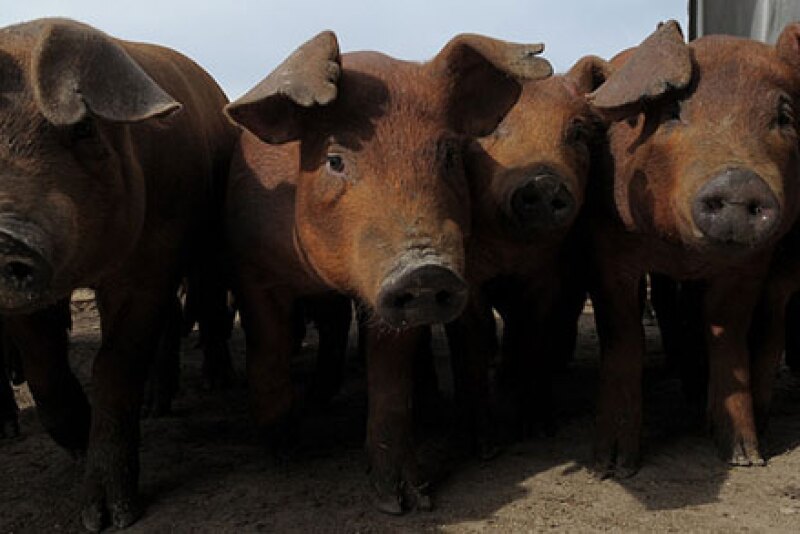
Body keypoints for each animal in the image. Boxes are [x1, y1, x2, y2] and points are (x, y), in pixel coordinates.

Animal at [0, 18, 236, 530]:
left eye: (84, 128)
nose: (5, 236)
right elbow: (44, 367)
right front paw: (76, 442)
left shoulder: (151, 259)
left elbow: (115, 364)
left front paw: (109, 518)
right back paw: (156, 406)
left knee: (209, 307)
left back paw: (212, 385)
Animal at [223, 30, 551, 513]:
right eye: (335, 160)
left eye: (448, 153)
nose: (425, 271)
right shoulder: (251, 267)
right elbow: (268, 350)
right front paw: (284, 451)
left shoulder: (393, 301)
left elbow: (392, 383)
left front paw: (404, 502)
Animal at [445, 58, 607, 454]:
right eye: (489, 127)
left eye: (577, 132)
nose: (544, 182)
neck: (509, 251)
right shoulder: (469, 277)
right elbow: (472, 342)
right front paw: (483, 446)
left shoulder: (548, 274)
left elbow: (536, 333)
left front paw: (538, 429)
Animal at [584, 20, 800, 478]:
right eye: (672, 112)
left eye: (784, 116)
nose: (738, 182)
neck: (683, 254)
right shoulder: (605, 245)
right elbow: (622, 334)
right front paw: (612, 466)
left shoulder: (753, 264)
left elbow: (727, 332)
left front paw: (745, 457)